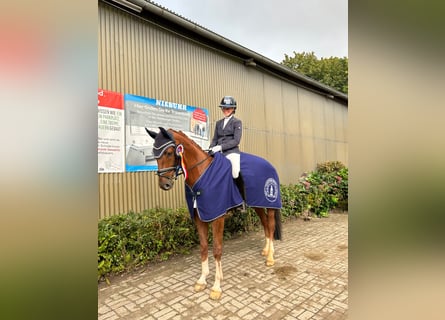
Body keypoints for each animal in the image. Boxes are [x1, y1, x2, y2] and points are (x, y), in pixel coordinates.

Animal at [146, 127, 280, 300]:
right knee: (265, 224)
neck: (202, 174)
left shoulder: (218, 217)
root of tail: (269, 164)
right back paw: (265, 250)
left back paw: (270, 257)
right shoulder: (199, 217)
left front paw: (216, 287)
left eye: (169, 153)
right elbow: (203, 247)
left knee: (270, 225)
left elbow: (217, 249)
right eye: (154, 154)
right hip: (257, 204)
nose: (165, 184)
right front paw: (202, 280)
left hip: (269, 204)